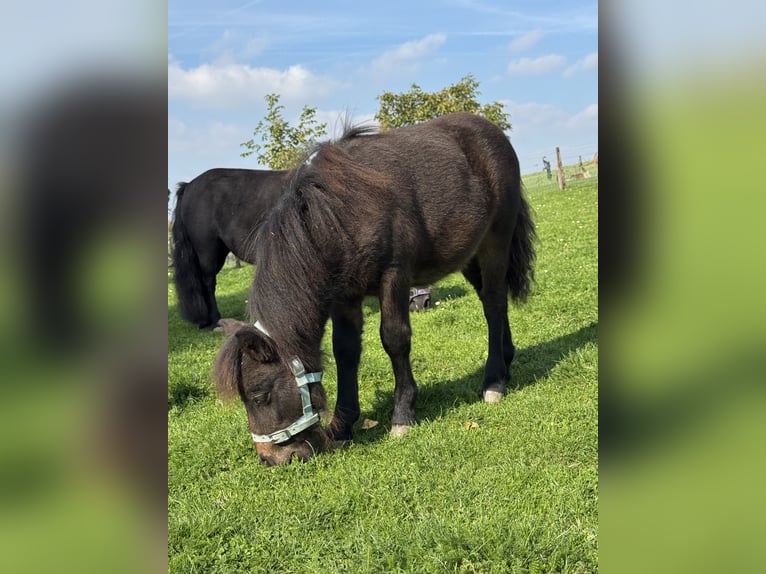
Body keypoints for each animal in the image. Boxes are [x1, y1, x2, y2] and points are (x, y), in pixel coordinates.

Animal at [213, 113, 536, 466]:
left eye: (260, 394)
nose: (271, 459)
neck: (339, 217)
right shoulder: (344, 296)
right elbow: (345, 351)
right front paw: (342, 425)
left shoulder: (394, 276)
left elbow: (395, 340)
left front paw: (402, 414)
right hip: (469, 253)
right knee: (492, 300)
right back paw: (507, 359)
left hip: (495, 243)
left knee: (493, 303)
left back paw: (494, 379)